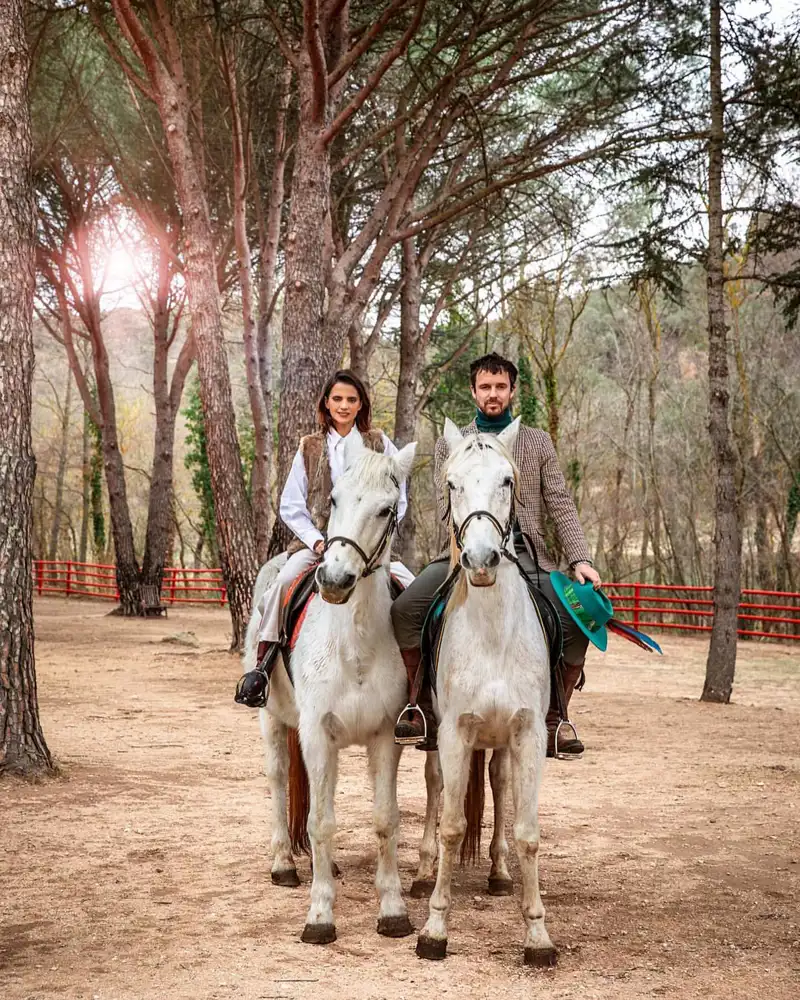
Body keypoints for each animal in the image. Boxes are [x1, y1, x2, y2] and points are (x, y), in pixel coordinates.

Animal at [248, 434, 422, 940]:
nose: (334, 579)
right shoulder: (317, 734)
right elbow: (323, 823)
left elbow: (385, 820)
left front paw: (393, 910)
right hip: (271, 719)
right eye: (334, 500)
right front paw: (320, 914)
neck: (355, 643)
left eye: (387, 509)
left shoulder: (384, 737)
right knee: (278, 780)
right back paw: (284, 865)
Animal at [418, 416, 556, 968]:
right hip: (435, 737)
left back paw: (498, 873)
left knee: (498, 785)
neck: (493, 632)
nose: (479, 559)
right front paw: (435, 928)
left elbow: (527, 832)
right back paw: (421, 871)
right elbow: (453, 825)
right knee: (435, 788)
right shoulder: (455, 733)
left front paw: (537, 934)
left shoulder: (528, 734)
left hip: (500, 742)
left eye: (507, 481)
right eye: (452, 484)